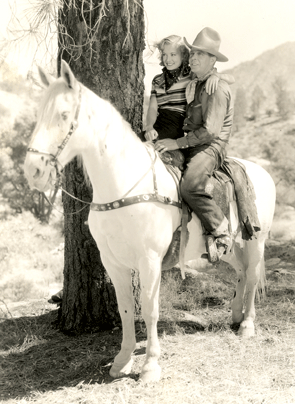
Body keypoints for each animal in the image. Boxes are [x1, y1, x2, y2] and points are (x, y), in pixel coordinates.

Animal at [24, 61, 276, 384]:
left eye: (64, 115)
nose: (33, 171)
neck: (124, 187)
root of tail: (262, 172)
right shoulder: (112, 262)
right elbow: (125, 309)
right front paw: (122, 361)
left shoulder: (150, 259)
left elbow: (150, 308)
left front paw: (150, 365)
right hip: (228, 246)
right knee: (242, 272)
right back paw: (235, 315)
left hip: (256, 239)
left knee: (253, 275)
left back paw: (247, 324)